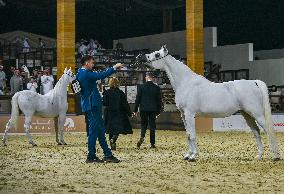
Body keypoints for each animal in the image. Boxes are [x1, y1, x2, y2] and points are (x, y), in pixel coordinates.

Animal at [143, 45, 280, 161]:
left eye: (157, 54)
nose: (142, 57)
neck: (186, 82)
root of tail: (254, 82)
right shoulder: (183, 115)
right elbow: (188, 134)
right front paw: (188, 155)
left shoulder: (189, 114)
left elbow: (192, 135)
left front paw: (193, 156)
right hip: (247, 115)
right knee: (256, 132)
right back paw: (259, 156)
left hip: (257, 114)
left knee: (268, 131)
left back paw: (276, 156)